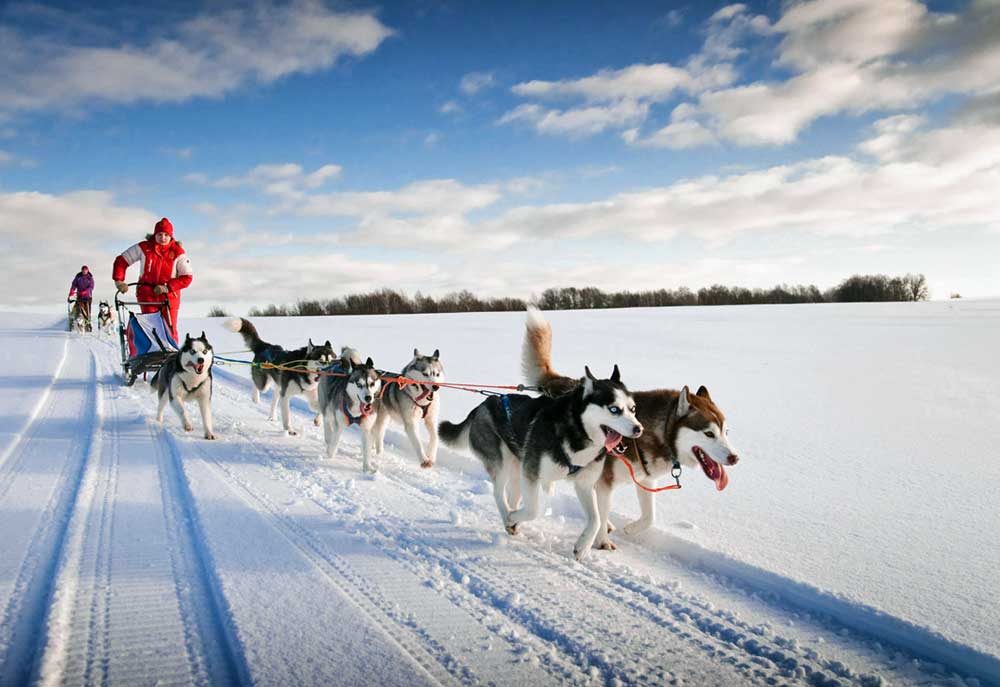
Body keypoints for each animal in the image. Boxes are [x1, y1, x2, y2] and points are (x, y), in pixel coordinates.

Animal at [438, 358, 640, 560]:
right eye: (614, 409)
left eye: (633, 409)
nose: (639, 429)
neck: (577, 432)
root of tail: (484, 404)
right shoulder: (532, 474)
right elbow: (534, 509)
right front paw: (513, 518)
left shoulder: (583, 484)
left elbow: (596, 519)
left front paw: (583, 546)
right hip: (502, 463)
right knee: (498, 493)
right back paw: (508, 516)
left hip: (518, 467)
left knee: (514, 495)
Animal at [520, 306, 740, 548]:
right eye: (709, 433)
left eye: (725, 432)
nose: (734, 458)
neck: (654, 433)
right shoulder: (604, 482)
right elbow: (601, 512)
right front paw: (602, 541)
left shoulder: (646, 480)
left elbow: (649, 518)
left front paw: (630, 529)